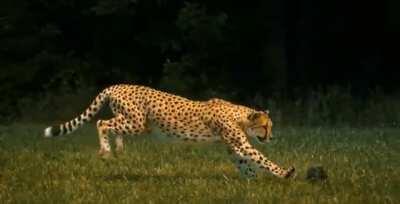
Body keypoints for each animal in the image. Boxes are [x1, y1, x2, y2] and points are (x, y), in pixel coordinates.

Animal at [43, 84, 296, 178]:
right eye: (266, 126)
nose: (272, 136)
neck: (240, 115)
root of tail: (116, 85)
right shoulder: (239, 143)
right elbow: (261, 158)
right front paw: (285, 173)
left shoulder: (233, 146)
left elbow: (246, 162)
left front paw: (251, 182)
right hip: (137, 122)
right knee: (101, 123)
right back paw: (106, 150)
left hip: (134, 122)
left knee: (111, 126)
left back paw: (118, 147)